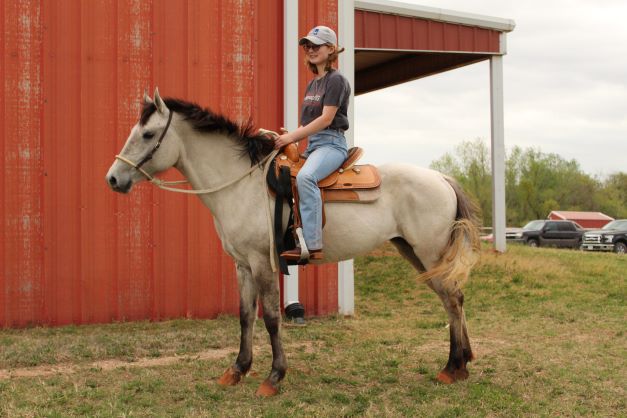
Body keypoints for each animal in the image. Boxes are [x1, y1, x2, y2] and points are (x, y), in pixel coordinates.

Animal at [106, 88, 480, 396]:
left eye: (148, 134)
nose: (113, 178)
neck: (240, 184)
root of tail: (442, 178)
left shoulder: (263, 262)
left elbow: (272, 318)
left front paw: (273, 377)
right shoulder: (242, 264)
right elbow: (245, 316)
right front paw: (237, 370)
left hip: (429, 254)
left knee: (453, 299)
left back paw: (452, 367)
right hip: (415, 253)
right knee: (452, 299)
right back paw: (461, 363)